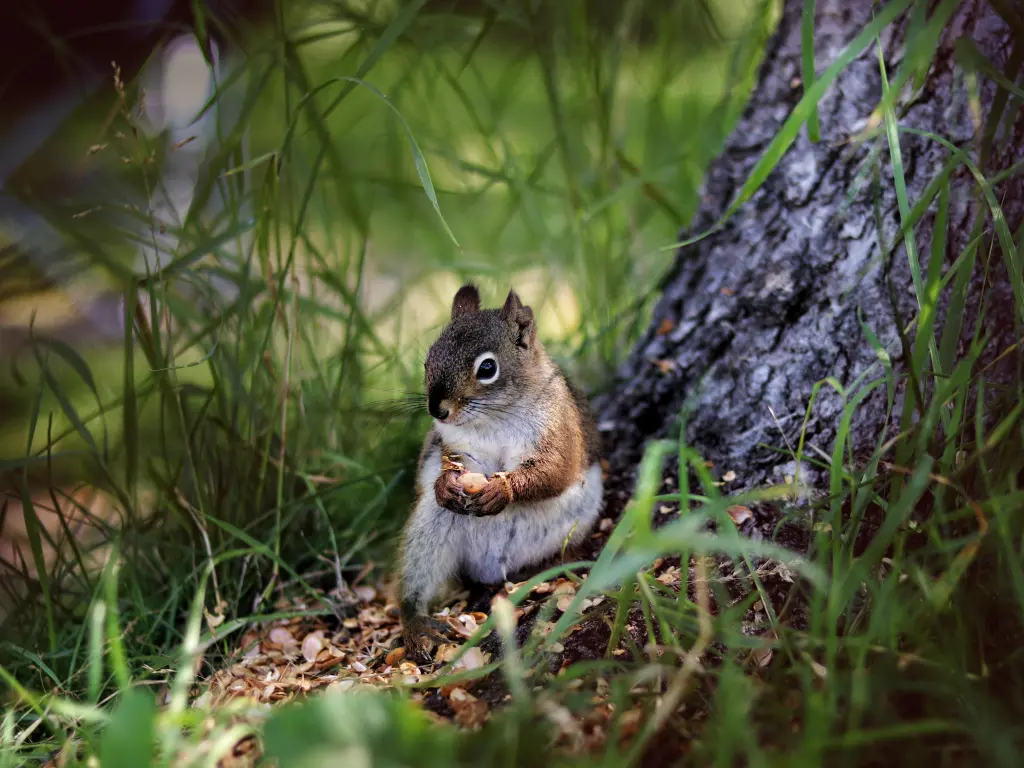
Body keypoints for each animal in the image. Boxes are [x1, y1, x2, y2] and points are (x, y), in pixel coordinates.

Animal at [397, 286, 606, 659]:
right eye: (428, 360)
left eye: (487, 367)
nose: (437, 409)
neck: (494, 418)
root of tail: (490, 571)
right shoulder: (456, 445)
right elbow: (445, 463)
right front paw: (445, 484)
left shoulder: (559, 430)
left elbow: (554, 471)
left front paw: (502, 490)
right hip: (429, 530)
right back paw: (417, 623)